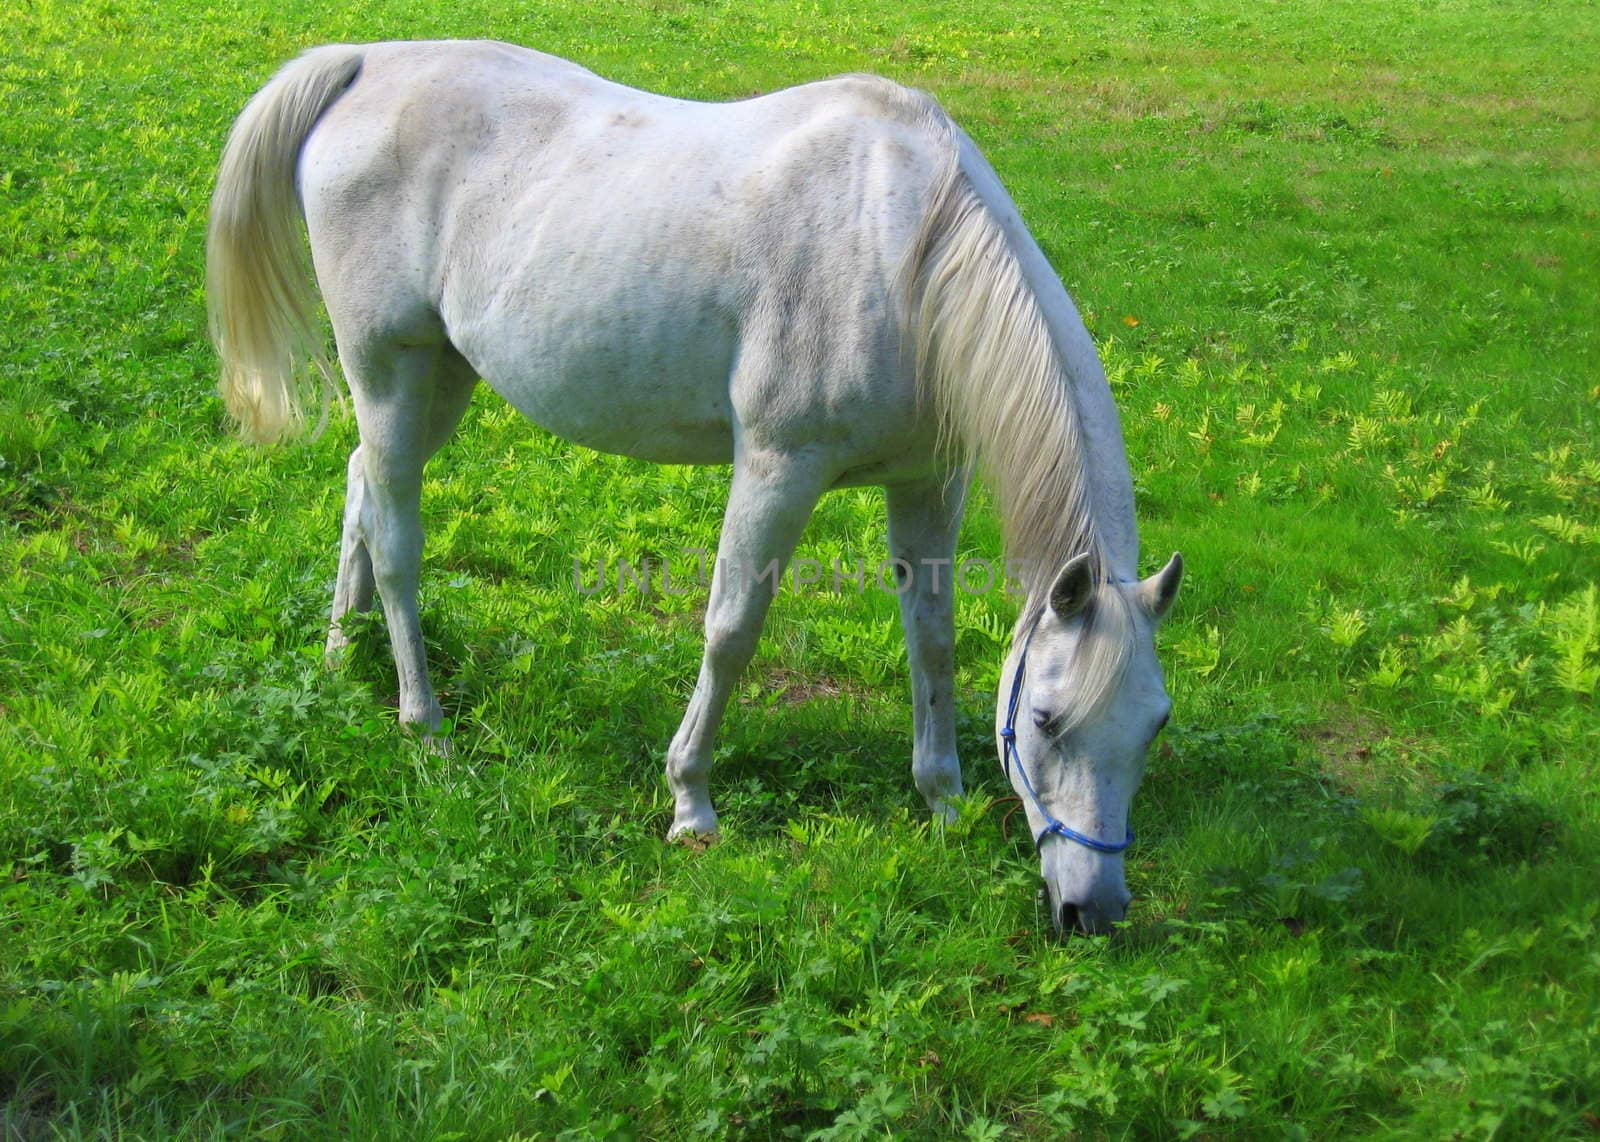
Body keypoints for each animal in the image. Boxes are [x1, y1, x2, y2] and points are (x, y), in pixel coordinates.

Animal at [206, 44, 1184, 934]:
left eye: (1154, 728)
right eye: (1049, 720)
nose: (1092, 911)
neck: (904, 249)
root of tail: (367, 64)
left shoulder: (927, 483)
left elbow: (933, 642)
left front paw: (941, 802)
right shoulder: (778, 468)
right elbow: (732, 630)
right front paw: (690, 804)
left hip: (436, 380)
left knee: (362, 489)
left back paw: (342, 651)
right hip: (393, 371)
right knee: (399, 540)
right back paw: (424, 724)